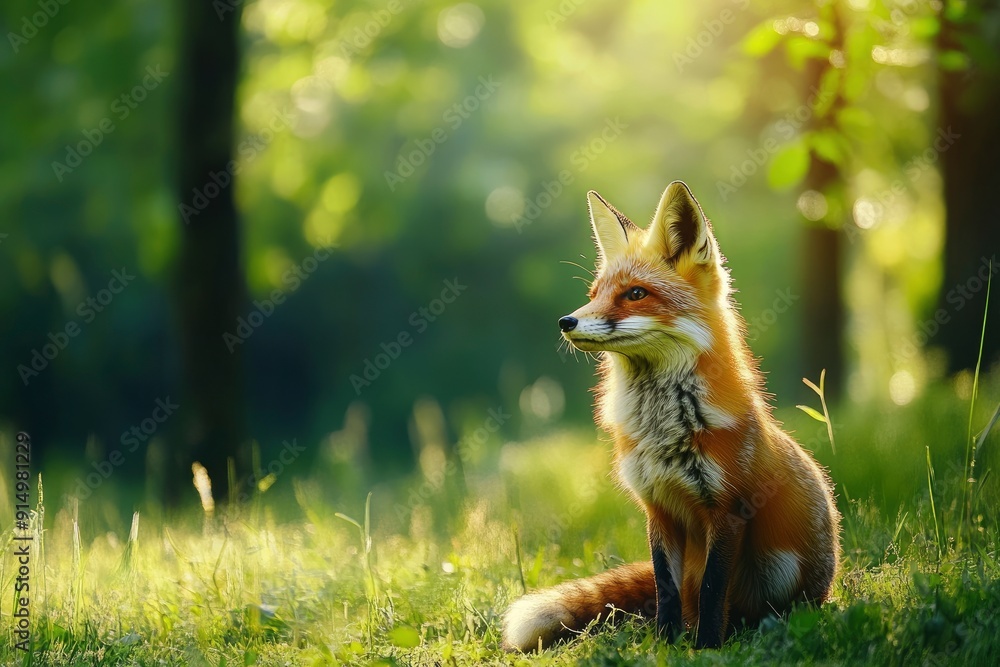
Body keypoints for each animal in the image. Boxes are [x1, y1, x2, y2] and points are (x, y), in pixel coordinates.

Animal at [502, 181, 840, 651]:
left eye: (635, 294)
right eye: (594, 295)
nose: (566, 321)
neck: (663, 429)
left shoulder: (728, 509)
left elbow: (714, 589)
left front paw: (707, 648)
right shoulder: (657, 509)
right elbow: (666, 589)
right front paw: (665, 644)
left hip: (780, 570)